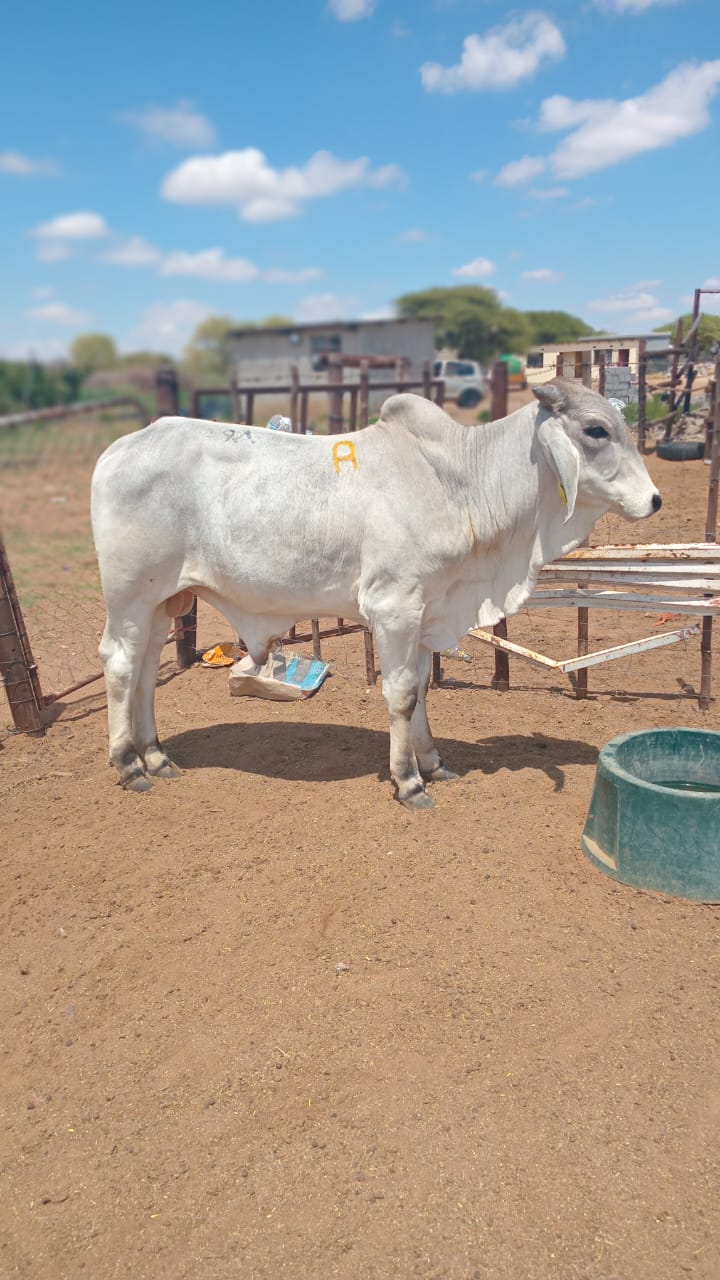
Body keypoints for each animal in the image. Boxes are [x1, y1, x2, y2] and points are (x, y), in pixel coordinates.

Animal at [92, 373, 661, 803]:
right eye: (595, 429)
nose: (655, 500)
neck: (460, 484)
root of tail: (118, 450)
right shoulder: (395, 607)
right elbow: (402, 693)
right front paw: (408, 780)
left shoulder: (427, 611)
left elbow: (423, 687)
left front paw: (433, 762)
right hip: (130, 595)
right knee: (120, 664)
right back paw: (128, 764)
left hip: (164, 600)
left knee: (144, 670)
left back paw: (157, 756)